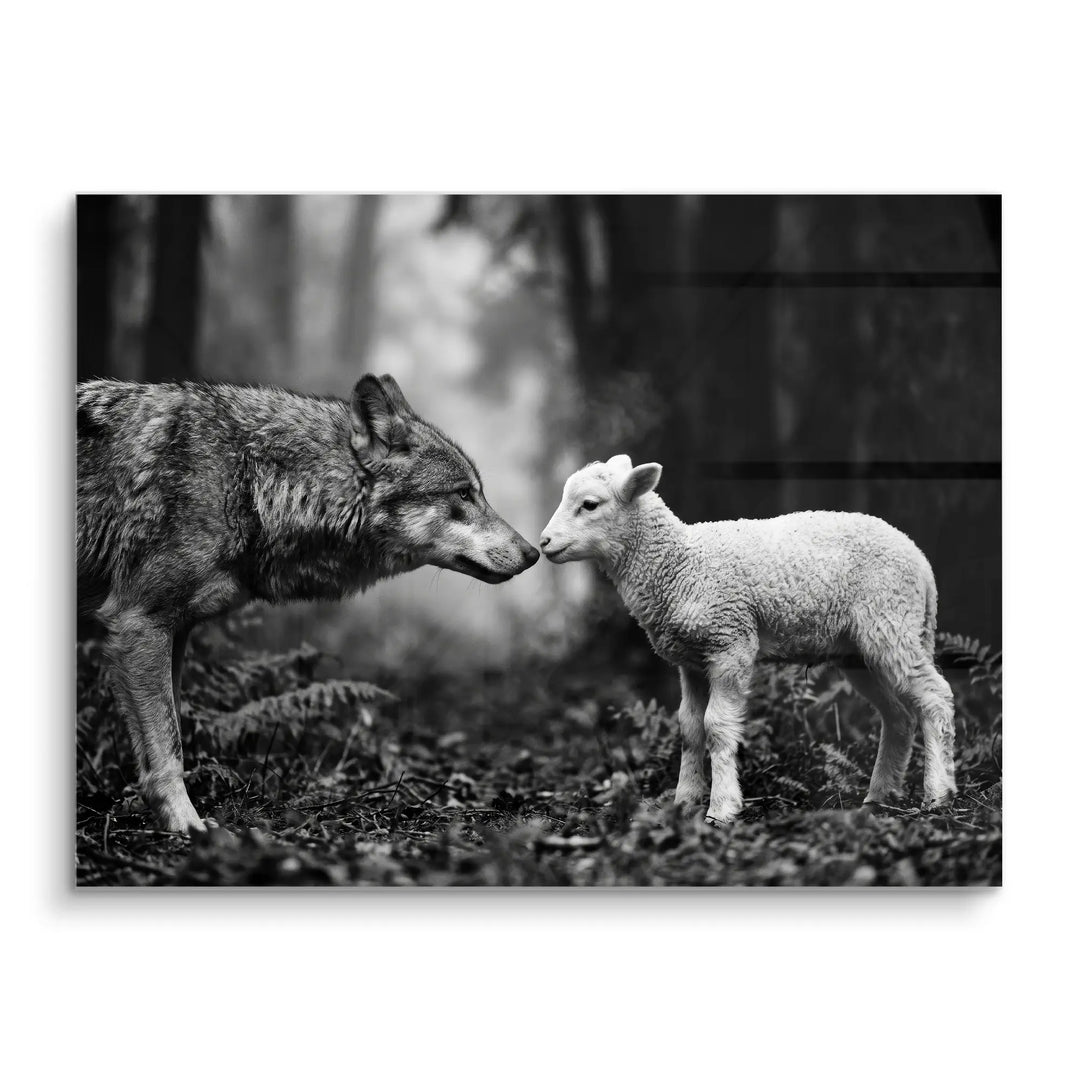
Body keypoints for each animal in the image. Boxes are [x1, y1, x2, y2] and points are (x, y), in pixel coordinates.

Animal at [77, 373, 539, 833]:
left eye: (477, 493)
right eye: (463, 494)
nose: (534, 552)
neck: (252, 481)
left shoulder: (174, 632)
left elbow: (165, 739)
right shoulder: (141, 623)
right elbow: (169, 745)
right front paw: (186, 824)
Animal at [539, 454, 957, 825]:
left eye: (589, 504)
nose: (544, 542)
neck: (678, 563)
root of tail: (921, 563)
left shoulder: (730, 641)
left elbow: (716, 726)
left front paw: (721, 809)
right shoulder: (691, 660)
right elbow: (689, 728)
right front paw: (684, 803)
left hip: (890, 620)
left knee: (936, 697)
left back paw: (937, 795)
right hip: (859, 649)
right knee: (899, 715)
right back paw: (878, 797)